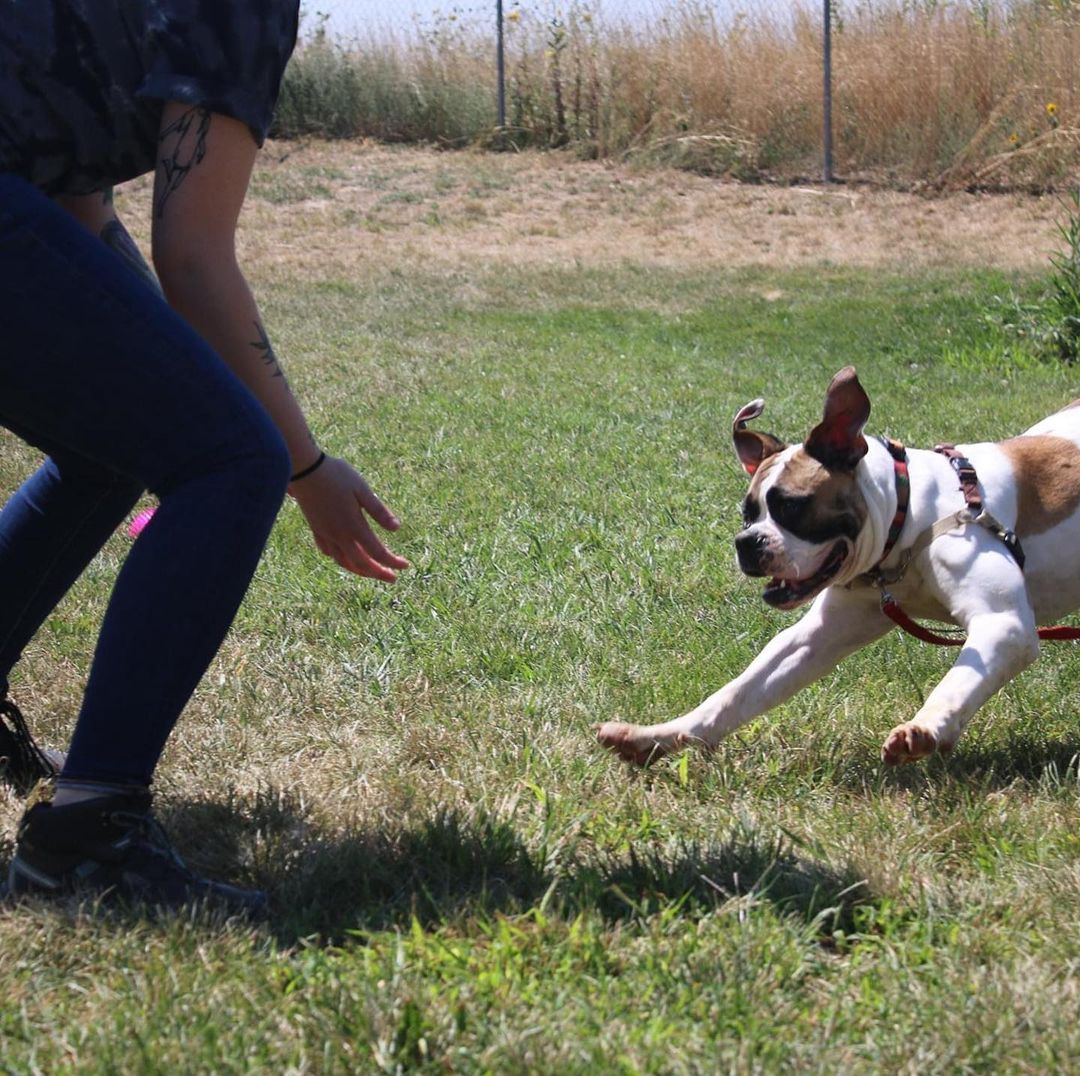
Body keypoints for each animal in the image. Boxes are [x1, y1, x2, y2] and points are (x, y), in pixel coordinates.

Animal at [596, 367, 1080, 764]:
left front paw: (925, 727)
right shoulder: (818, 636)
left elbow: (959, 680)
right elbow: (737, 693)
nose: (746, 543)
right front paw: (659, 736)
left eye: (792, 507)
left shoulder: (1003, 624)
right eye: (748, 514)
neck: (908, 518)